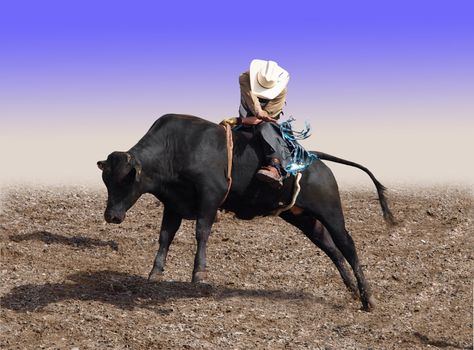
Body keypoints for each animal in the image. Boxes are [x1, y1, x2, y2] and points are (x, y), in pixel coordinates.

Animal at [98, 115, 394, 312]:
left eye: (126, 180)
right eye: (107, 180)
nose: (111, 216)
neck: (177, 147)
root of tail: (312, 158)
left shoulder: (211, 195)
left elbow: (201, 231)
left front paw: (199, 273)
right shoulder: (173, 203)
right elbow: (165, 236)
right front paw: (155, 272)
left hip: (331, 212)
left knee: (347, 245)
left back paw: (368, 298)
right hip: (302, 217)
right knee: (330, 247)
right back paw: (353, 290)